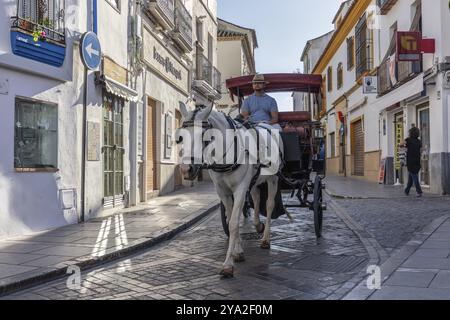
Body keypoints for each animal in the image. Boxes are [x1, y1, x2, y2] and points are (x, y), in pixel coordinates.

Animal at [178, 103, 284, 278]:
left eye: (204, 135)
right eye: (180, 137)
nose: (186, 170)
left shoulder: (240, 188)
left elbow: (234, 222)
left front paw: (228, 264)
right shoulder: (222, 191)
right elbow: (230, 219)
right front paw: (238, 252)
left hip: (273, 178)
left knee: (269, 205)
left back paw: (265, 239)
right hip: (254, 180)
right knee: (256, 197)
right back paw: (257, 225)